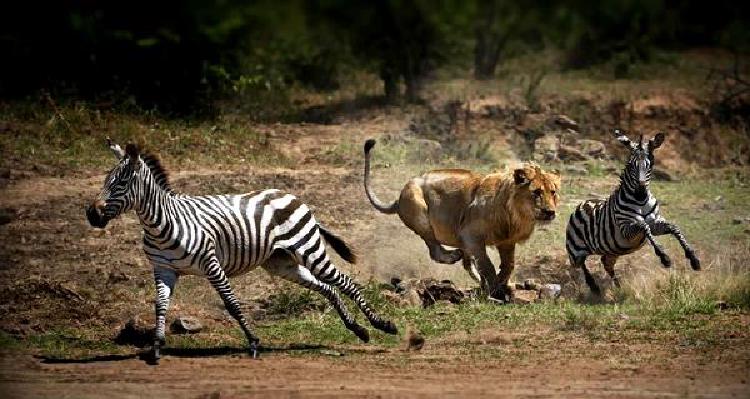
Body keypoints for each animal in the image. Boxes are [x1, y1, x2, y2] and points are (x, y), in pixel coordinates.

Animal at [86, 139, 400, 364]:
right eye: (106, 179)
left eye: (121, 181)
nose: (91, 214)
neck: (161, 224)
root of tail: (292, 195)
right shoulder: (164, 269)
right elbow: (160, 305)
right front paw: (156, 347)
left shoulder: (212, 264)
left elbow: (232, 304)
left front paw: (253, 343)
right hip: (281, 262)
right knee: (328, 288)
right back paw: (358, 329)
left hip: (309, 249)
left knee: (345, 282)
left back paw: (383, 325)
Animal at [364, 139, 564, 298]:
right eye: (536, 192)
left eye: (553, 192)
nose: (550, 212)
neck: (516, 215)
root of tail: (398, 199)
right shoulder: (471, 235)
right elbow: (487, 265)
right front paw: (495, 289)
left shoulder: (506, 241)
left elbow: (509, 265)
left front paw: (500, 282)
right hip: (421, 215)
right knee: (436, 251)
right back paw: (455, 256)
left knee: (466, 263)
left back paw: (476, 276)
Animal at [568, 130, 704, 296]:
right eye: (630, 165)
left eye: (650, 165)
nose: (640, 193)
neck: (640, 202)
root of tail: (581, 204)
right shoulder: (626, 228)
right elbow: (644, 227)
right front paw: (664, 257)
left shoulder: (655, 223)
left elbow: (674, 228)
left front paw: (693, 258)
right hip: (576, 251)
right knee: (582, 265)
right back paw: (594, 287)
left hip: (611, 251)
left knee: (607, 264)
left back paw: (618, 286)